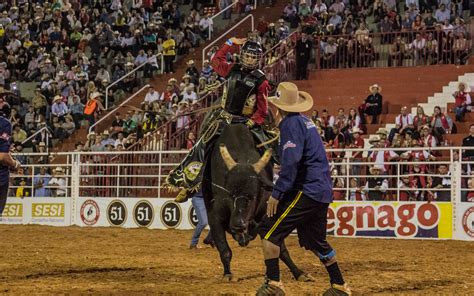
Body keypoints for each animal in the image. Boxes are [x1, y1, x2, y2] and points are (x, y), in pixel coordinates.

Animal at [201, 123, 308, 280]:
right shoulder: (214, 217)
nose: (238, 224)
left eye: (252, 195)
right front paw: (227, 274)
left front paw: (298, 273)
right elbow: (224, 249)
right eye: (231, 194)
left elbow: (280, 249)